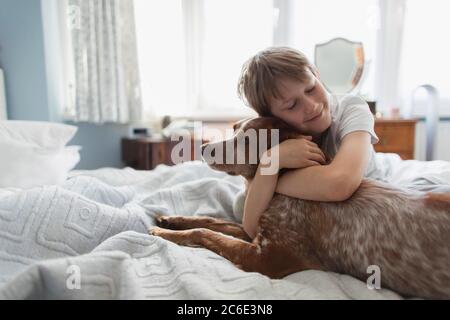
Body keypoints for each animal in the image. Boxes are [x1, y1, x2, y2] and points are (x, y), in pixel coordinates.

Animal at [151, 116, 450, 298]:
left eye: (247, 140)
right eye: (234, 128)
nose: (204, 148)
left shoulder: (267, 258)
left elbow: (205, 233)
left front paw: (164, 234)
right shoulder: (256, 232)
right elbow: (211, 222)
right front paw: (170, 220)